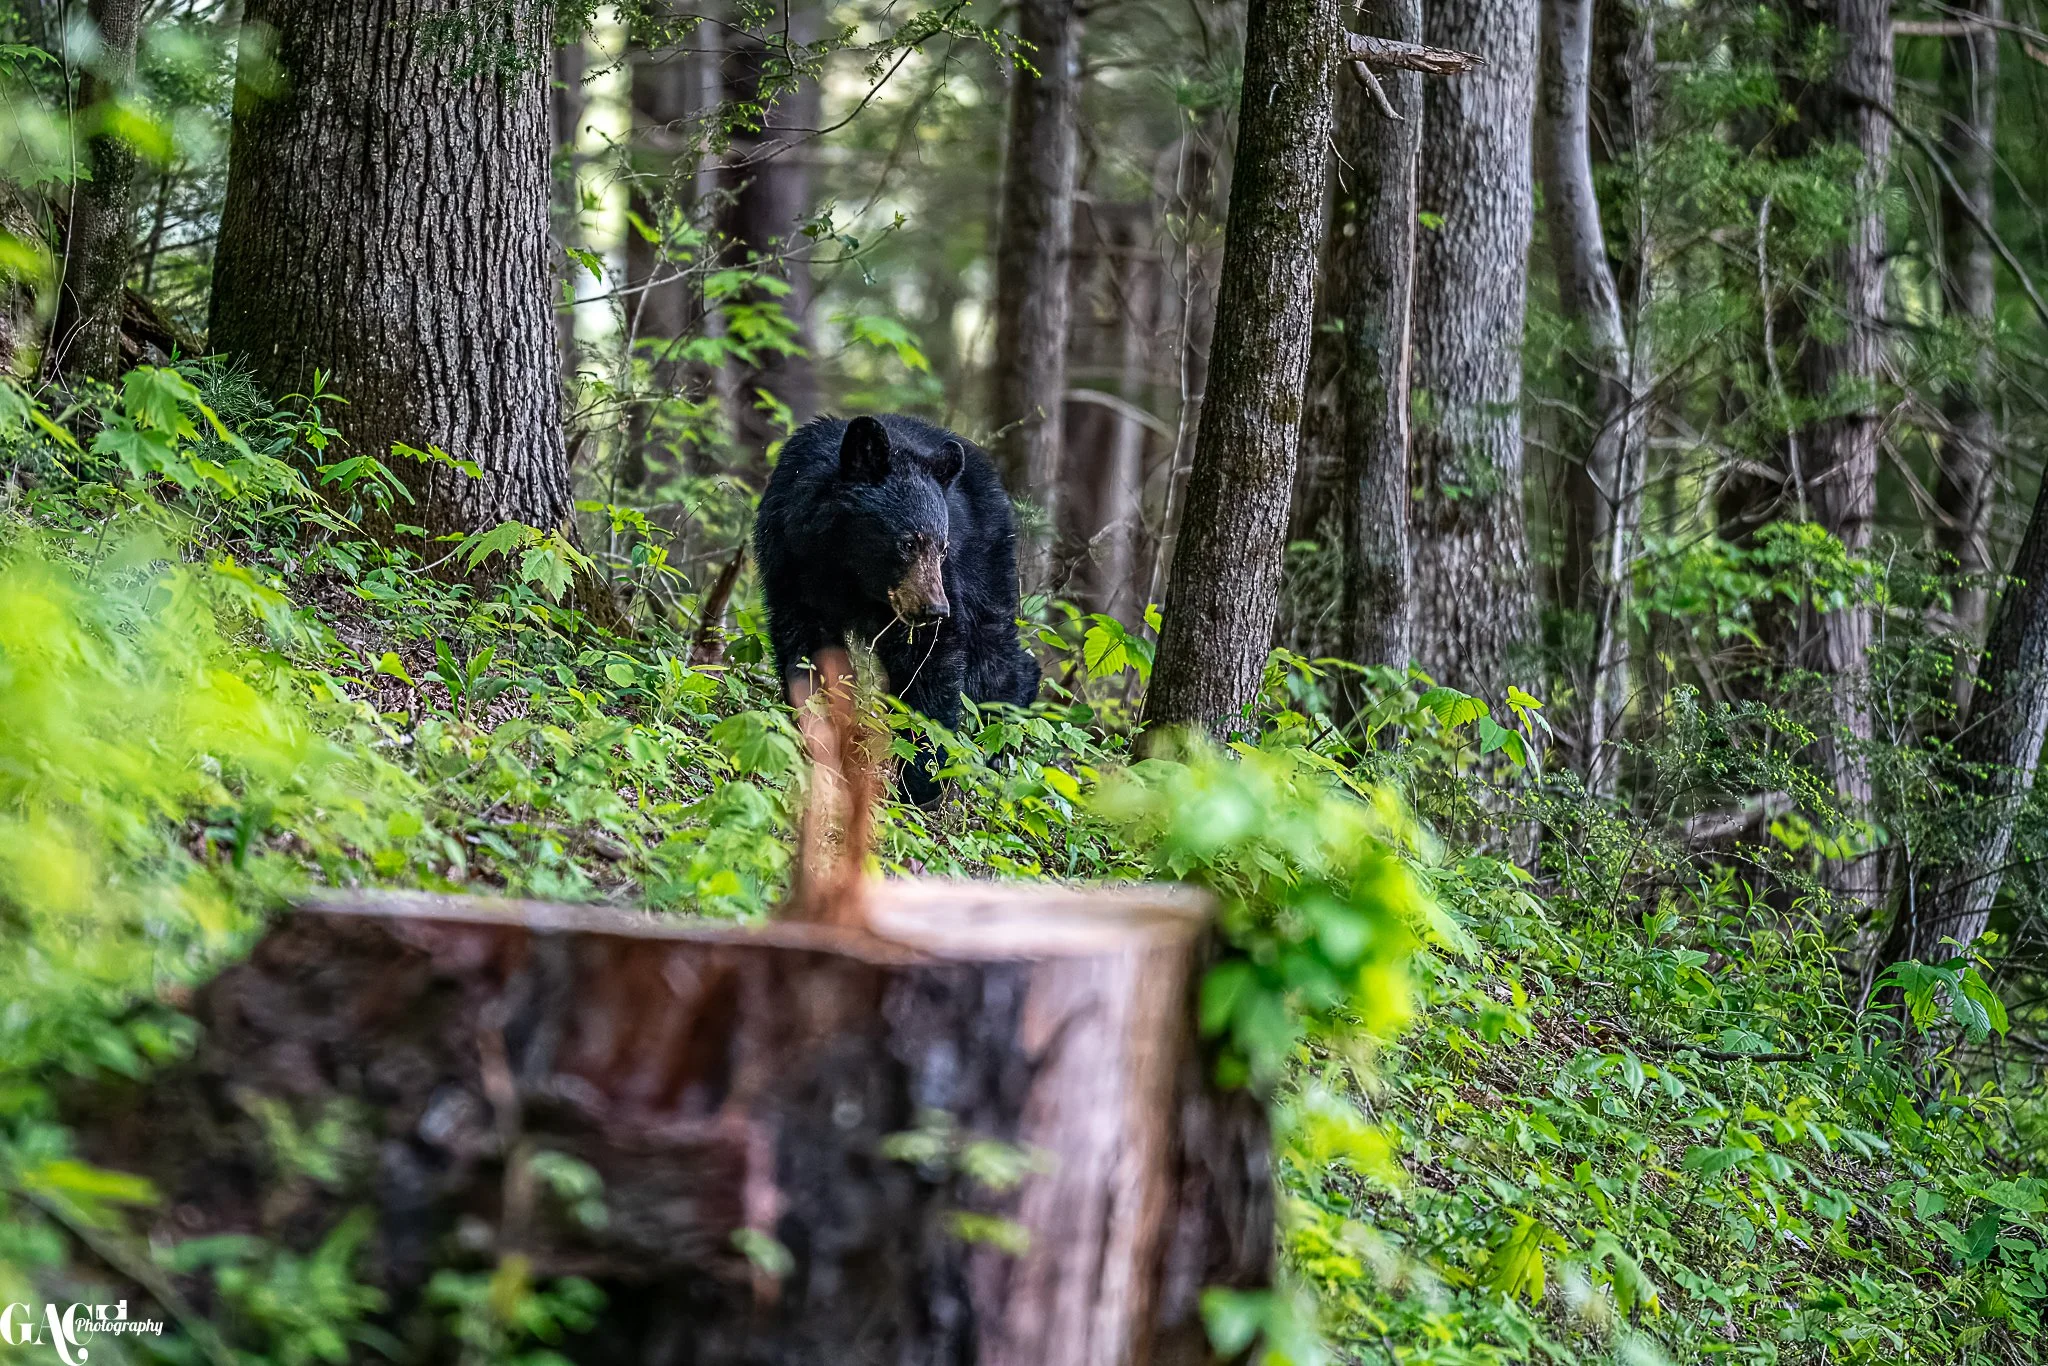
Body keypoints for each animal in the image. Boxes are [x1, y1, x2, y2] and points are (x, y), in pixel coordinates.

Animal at [753, 413, 1040, 805]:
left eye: (942, 546)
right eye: (908, 543)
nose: (936, 609)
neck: (846, 566)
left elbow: (930, 661)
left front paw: (920, 778)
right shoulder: (790, 562)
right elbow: (806, 649)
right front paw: (820, 737)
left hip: (987, 562)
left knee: (994, 652)